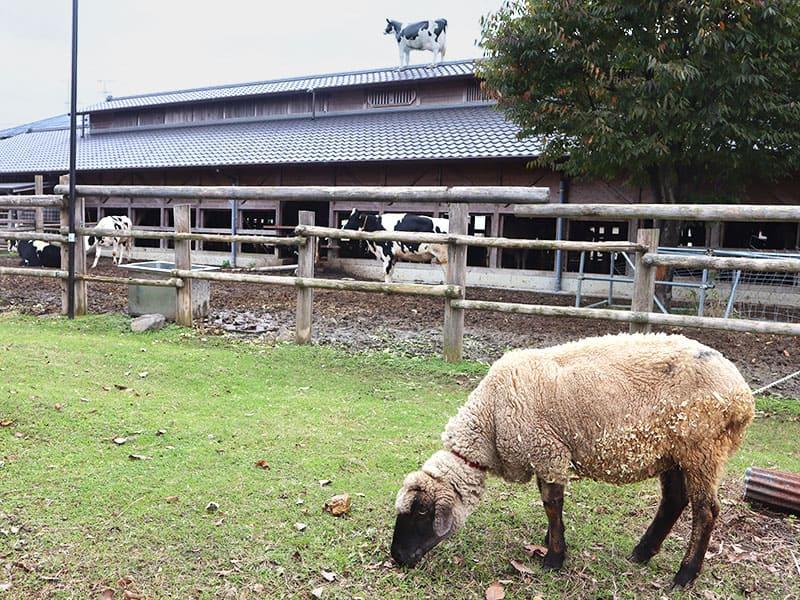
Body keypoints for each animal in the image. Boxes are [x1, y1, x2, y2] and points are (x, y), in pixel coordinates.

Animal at [394, 336, 756, 588]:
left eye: (421, 512)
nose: (396, 557)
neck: (489, 421)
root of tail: (743, 396)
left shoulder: (547, 451)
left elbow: (551, 504)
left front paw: (554, 558)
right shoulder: (547, 456)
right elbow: (551, 504)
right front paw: (551, 543)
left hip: (703, 449)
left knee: (705, 511)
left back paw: (684, 575)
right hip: (674, 452)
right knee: (674, 500)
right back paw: (642, 553)